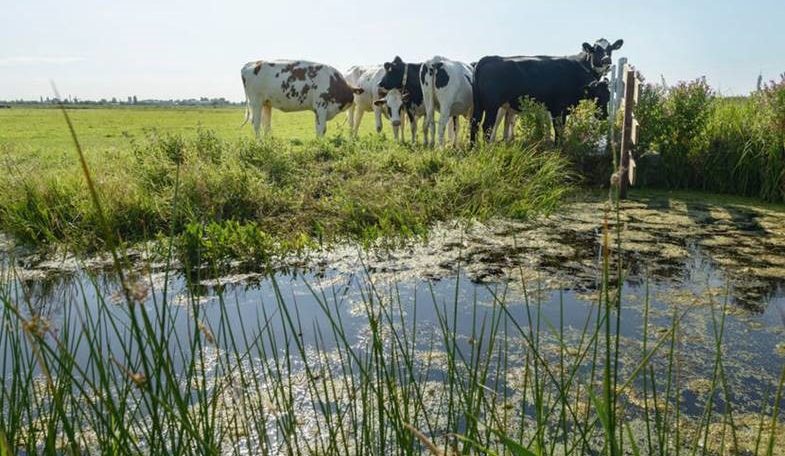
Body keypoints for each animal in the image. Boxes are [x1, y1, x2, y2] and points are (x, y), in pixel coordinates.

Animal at [468, 38, 620, 143]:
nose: (604, 115)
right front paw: (558, 146)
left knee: (474, 124)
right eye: (597, 96)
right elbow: (558, 129)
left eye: (608, 96)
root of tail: (488, 59)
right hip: (492, 106)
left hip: (479, 105)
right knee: (487, 126)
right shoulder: (558, 109)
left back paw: (473, 148)